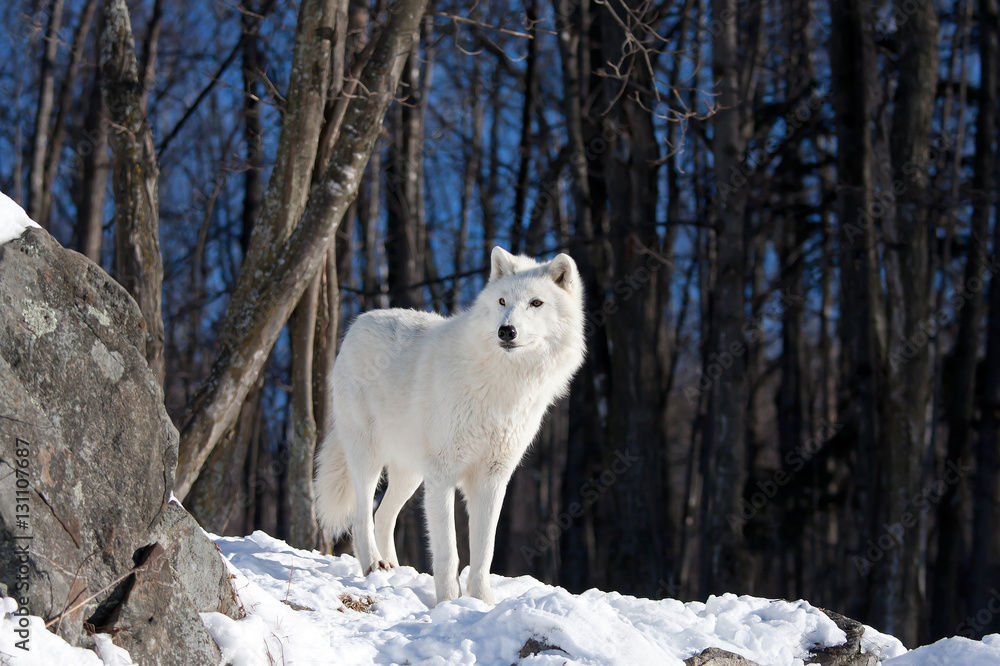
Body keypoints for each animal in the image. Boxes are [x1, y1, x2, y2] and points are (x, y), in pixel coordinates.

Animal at [314, 246, 585, 604]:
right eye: (502, 302)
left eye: (536, 303)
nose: (506, 331)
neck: (503, 385)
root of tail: (358, 322)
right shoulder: (443, 475)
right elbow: (447, 551)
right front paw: (447, 602)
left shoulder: (492, 478)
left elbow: (484, 552)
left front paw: (482, 604)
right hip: (370, 459)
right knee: (362, 517)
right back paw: (374, 565)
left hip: (412, 475)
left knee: (382, 516)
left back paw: (395, 570)